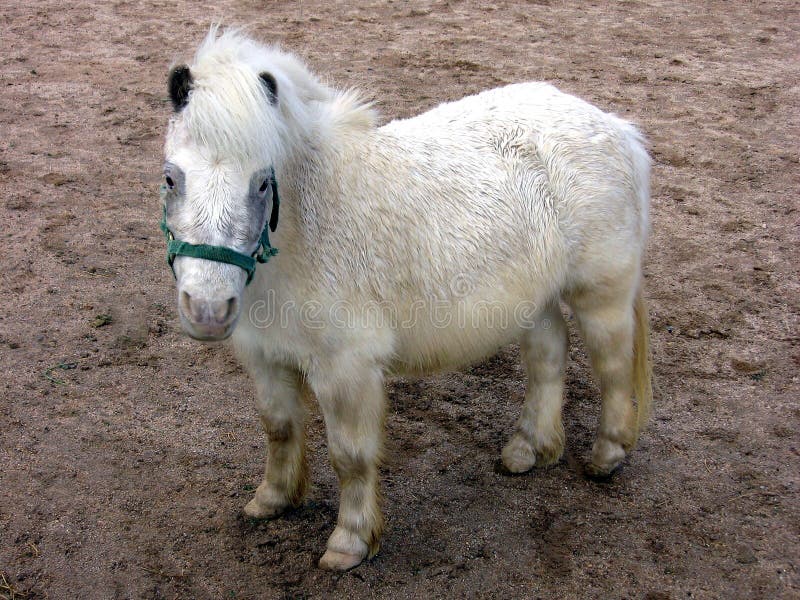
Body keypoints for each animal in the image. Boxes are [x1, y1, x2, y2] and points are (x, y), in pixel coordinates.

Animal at [161, 29, 648, 572]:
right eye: (170, 178)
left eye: (262, 182)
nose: (207, 309)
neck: (312, 224)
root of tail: (616, 127)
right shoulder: (265, 357)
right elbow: (279, 428)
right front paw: (273, 499)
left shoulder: (345, 370)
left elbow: (350, 457)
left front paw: (350, 542)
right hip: (533, 299)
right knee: (548, 359)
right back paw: (530, 449)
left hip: (601, 296)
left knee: (612, 367)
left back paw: (606, 455)